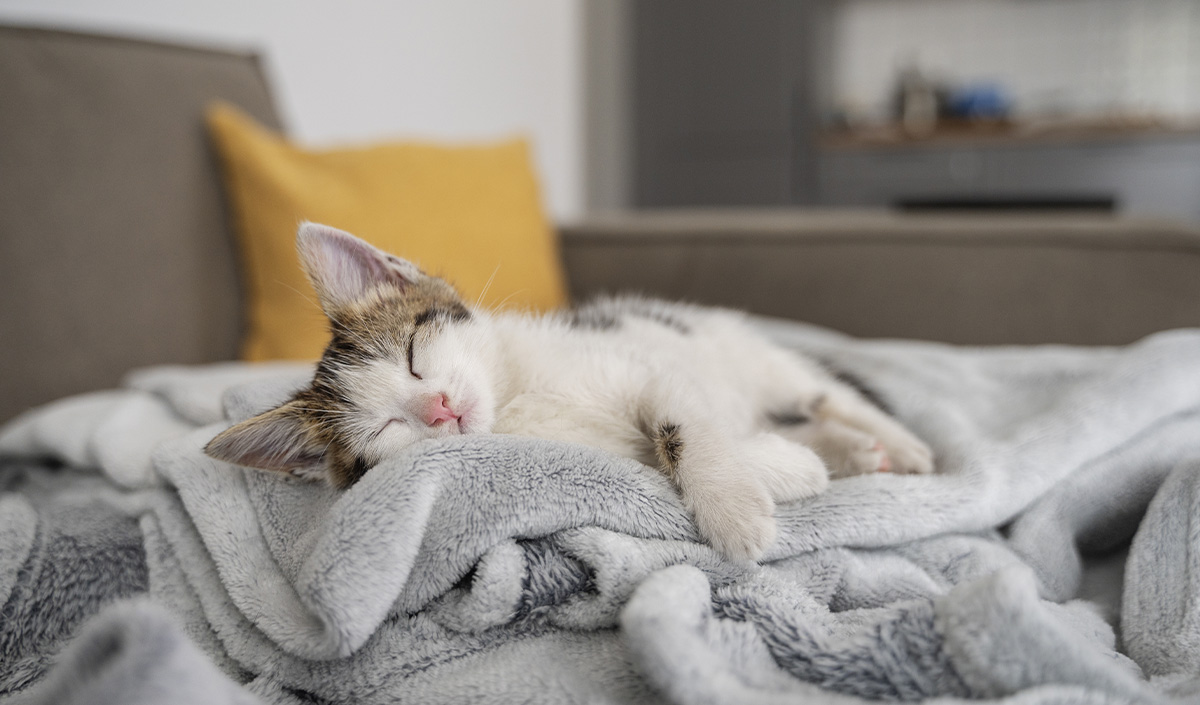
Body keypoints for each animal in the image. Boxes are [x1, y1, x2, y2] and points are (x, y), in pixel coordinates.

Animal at [208, 224, 936, 561]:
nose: (438, 408)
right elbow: (660, 454)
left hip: (754, 356)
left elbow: (681, 426)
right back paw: (850, 453)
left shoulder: (647, 368)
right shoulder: (594, 455)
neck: (517, 395)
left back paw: (901, 446)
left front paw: (733, 512)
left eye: (414, 357)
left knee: (829, 394)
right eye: (387, 428)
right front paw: (790, 470)